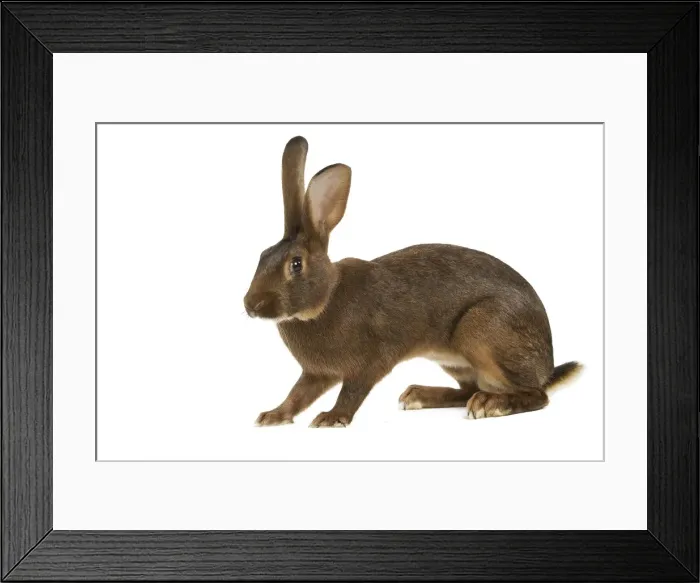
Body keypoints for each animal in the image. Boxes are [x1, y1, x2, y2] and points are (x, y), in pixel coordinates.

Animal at [244, 136, 582, 428]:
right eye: (261, 256)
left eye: (296, 264)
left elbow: (352, 392)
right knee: (468, 390)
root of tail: (546, 366)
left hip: (484, 330)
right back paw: (420, 395)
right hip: (457, 357)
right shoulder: (317, 373)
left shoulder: (370, 362)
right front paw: (273, 416)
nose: (250, 305)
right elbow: (298, 395)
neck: (326, 298)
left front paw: (332, 418)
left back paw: (491, 404)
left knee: (535, 394)